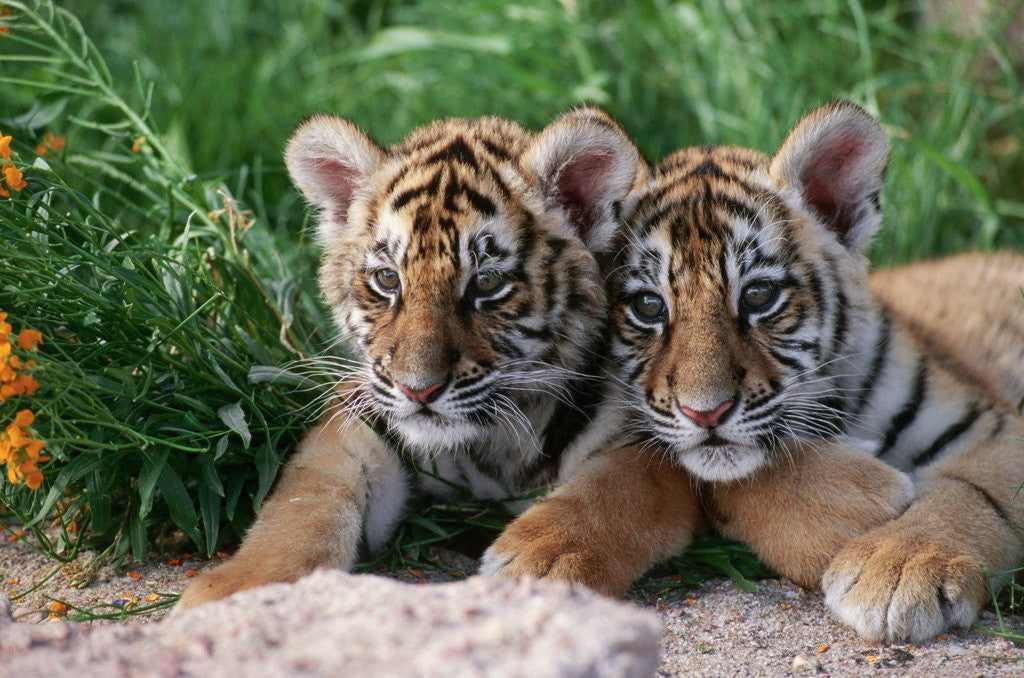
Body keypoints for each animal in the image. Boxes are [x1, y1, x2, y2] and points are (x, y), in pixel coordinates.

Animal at [482, 101, 1024, 643]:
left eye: (759, 296)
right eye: (648, 306)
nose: (705, 413)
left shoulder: (994, 427)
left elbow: (970, 491)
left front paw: (901, 569)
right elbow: (624, 481)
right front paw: (539, 563)